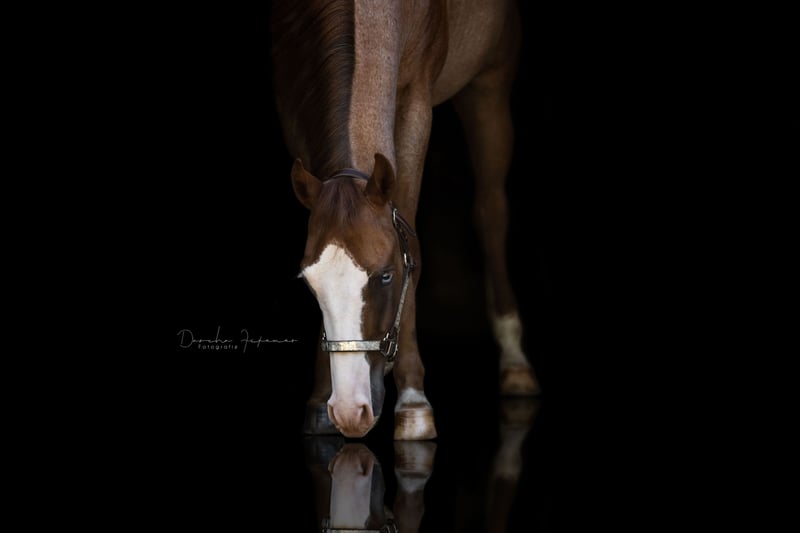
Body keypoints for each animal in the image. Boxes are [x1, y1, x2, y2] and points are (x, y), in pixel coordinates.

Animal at [271, 0, 541, 440]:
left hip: (489, 86)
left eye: (387, 275)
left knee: (492, 213)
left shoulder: (416, 101)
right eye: (309, 283)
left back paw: (515, 362)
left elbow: (411, 237)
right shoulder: (294, 101)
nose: (349, 410)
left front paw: (414, 403)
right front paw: (317, 399)